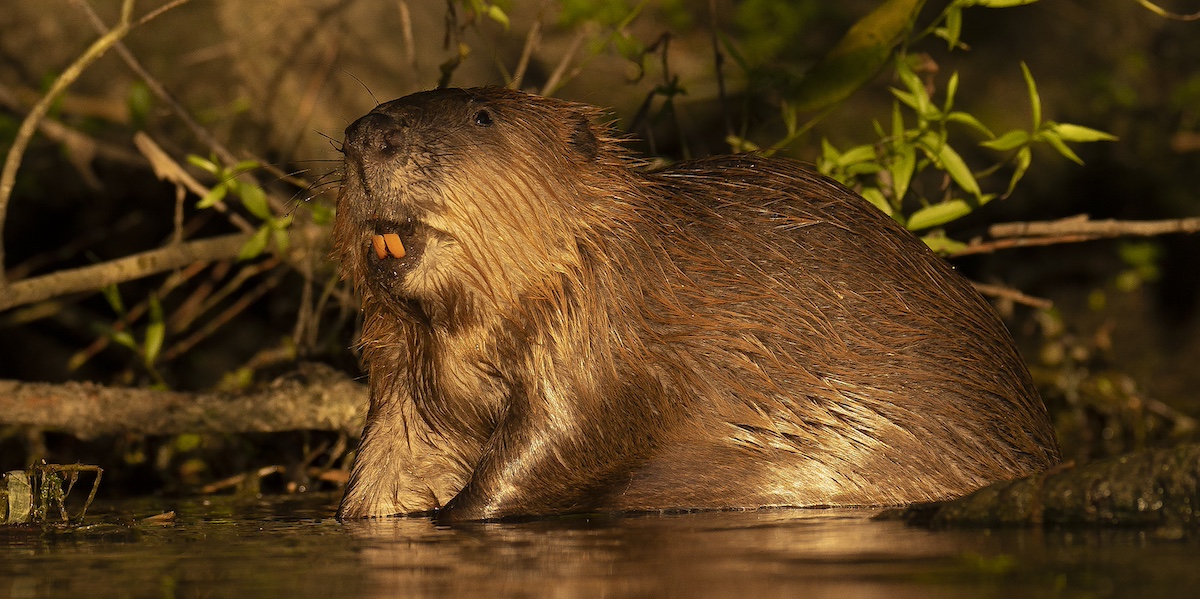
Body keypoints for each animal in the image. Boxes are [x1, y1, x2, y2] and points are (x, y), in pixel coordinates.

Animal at [331, 87, 1060, 523]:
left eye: (482, 116)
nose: (369, 135)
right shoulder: (404, 371)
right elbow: (392, 456)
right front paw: (364, 511)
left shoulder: (607, 324)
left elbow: (559, 436)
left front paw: (453, 514)